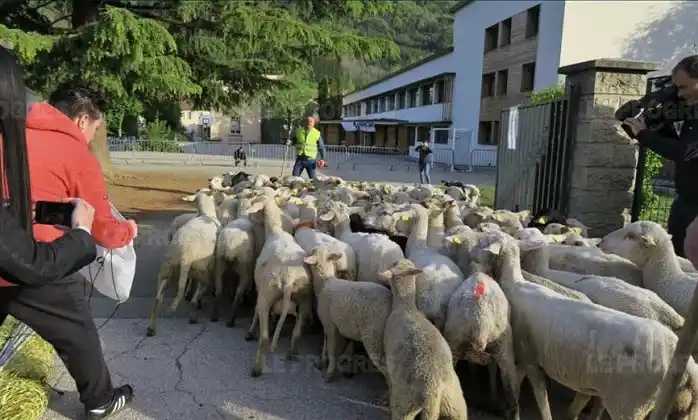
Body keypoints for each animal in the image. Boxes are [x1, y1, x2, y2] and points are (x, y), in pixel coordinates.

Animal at [146, 190, 221, 336]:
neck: (206, 214)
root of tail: (185, 254)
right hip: (201, 270)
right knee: (196, 296)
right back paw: (193, 316)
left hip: (167, 268)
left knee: (157, 299)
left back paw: (151, 329)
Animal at [244, 195, 313, 377]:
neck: (275, 230)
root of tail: (289, 278)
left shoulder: (260, 290)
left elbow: (256, 310)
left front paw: (250, 331)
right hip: (304, 297)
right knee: (297, 332)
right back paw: (291, 353)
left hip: (268, 293)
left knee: (265, 338)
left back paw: (256, 369)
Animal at [378, 259, 469, 420]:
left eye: (394, 265)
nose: (396, 260)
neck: (406, 306)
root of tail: (433, 388)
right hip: (454, 403)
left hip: (406, 401)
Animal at [471, 232, 698, 420]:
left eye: (485, 240)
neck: (514, 284)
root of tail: (683, 357)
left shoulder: (528, 358)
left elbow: (536, 394)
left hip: (631, 404)